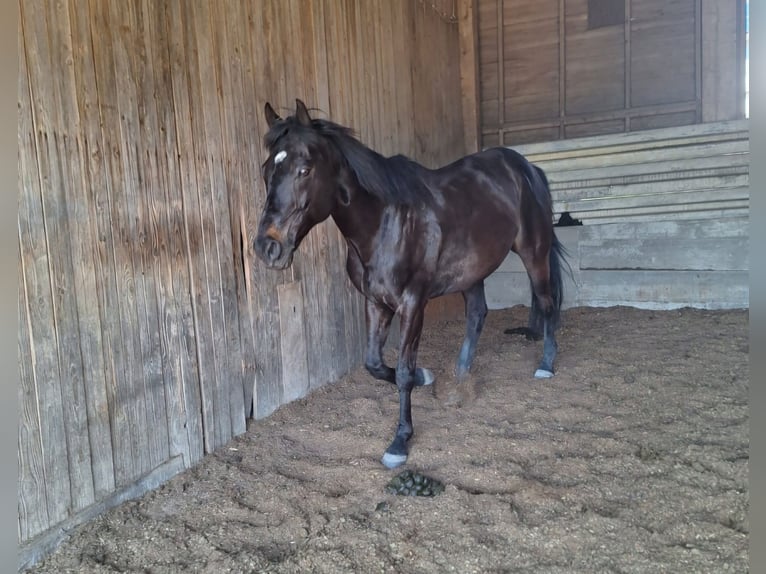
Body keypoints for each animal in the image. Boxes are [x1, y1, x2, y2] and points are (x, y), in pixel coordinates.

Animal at [254, 99, 568, 469]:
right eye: (265, 171)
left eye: (304, 170)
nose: (267, 247)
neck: (384, 222)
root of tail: (525, 167)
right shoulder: (375, 302)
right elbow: (374, 364)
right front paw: (426, 378)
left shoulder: (413, 302)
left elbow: (403, 370)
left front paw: (400, 441)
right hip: (472, 270)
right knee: (477, 315)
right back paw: (460, 375)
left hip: (534, 252)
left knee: (546, 303)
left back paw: (546, 365)